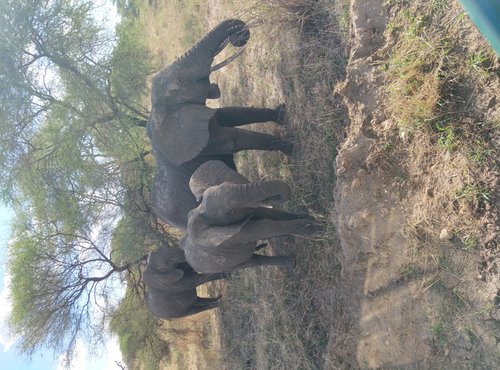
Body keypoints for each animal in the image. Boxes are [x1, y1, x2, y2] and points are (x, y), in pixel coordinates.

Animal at [146, 19, 292, 231]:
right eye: (180, 81)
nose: (238, 35)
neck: (156, 115)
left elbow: (231, 114)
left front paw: (282, 114)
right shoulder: (197, 140)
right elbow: (233, 138)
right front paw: (292, 146)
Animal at [179, 160, 320, 274]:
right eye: (232, 211)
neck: (199, 210)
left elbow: (268, 214)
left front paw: (310, 218)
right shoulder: (230, 237)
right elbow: (265, 227)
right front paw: (316, 228)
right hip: (219, 267)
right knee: (252, 262)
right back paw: (292, 263)